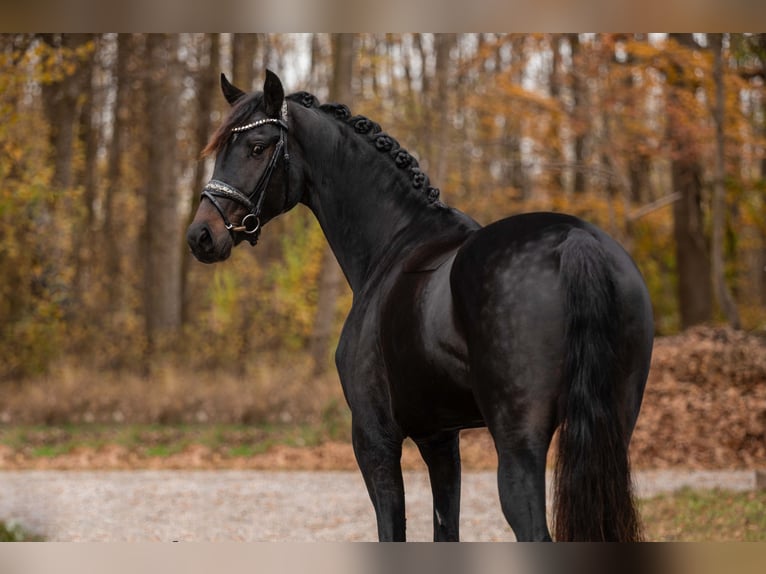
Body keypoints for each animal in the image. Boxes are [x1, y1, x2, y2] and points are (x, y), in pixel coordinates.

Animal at [186, 72, 656, 544]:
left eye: (257, 147)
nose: (201, 236)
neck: (394, 241)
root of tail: (574, 242)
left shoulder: (375, 438)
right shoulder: (440, 438)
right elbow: (445, 530)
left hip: (518, 441)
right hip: (611, 433)